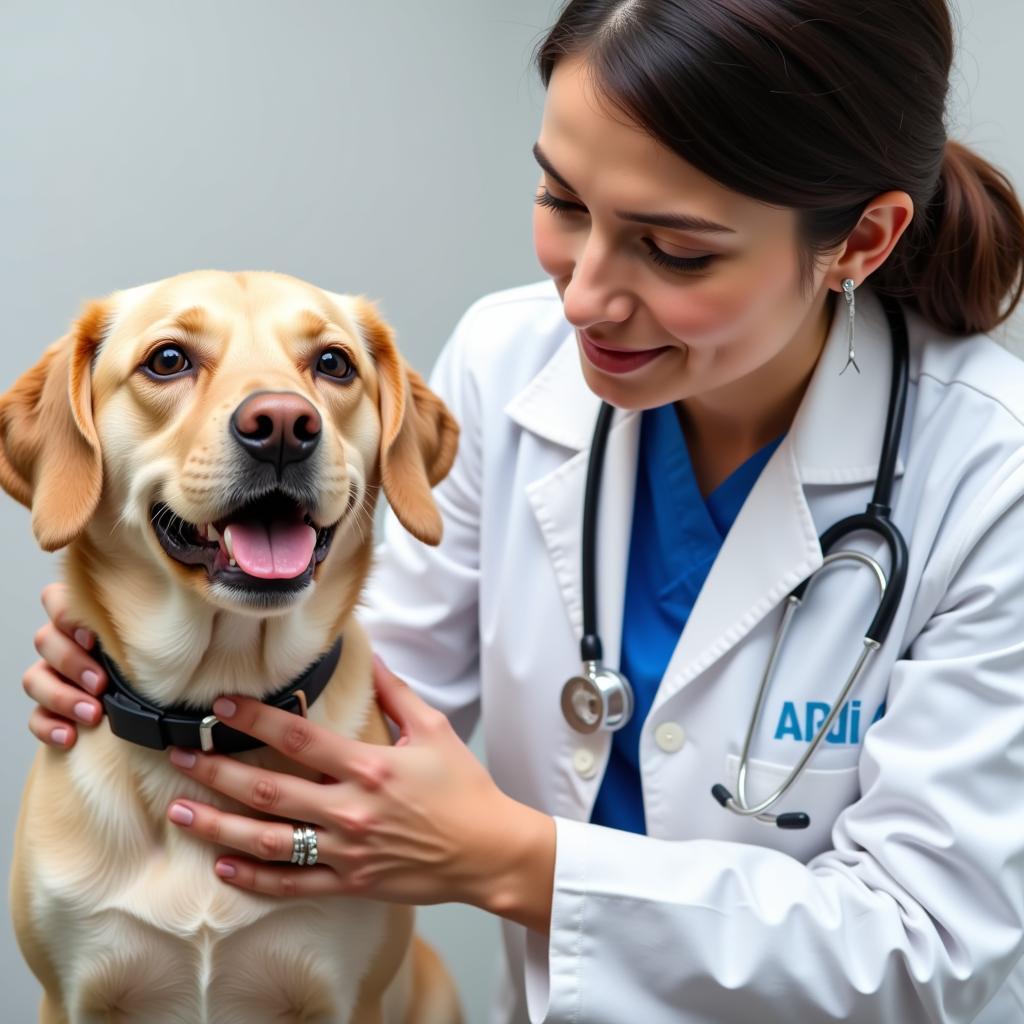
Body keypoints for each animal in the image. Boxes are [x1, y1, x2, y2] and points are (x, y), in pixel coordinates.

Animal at [0, 270, 464, 1024]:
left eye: (334, 363)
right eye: (167, 360)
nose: (282, 425)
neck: (213, 695)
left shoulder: (349, 996)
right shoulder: (70, 996)